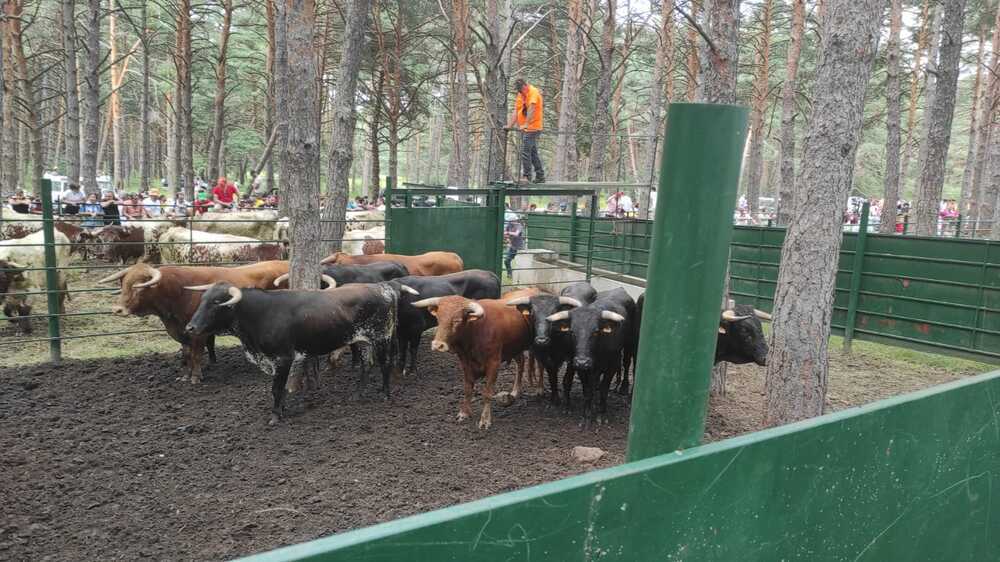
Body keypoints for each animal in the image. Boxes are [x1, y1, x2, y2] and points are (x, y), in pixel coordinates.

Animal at [412, 286, 540, 426]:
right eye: (439, 319)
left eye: (457, 320)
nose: (437, 345)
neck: (474, 331)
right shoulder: (465, 362)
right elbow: (468, 389)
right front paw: (464, 413)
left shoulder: (494, 363)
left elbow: (487, 392)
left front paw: (485, 419)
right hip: (514, 347)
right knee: (520, 363)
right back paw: (515, 391)